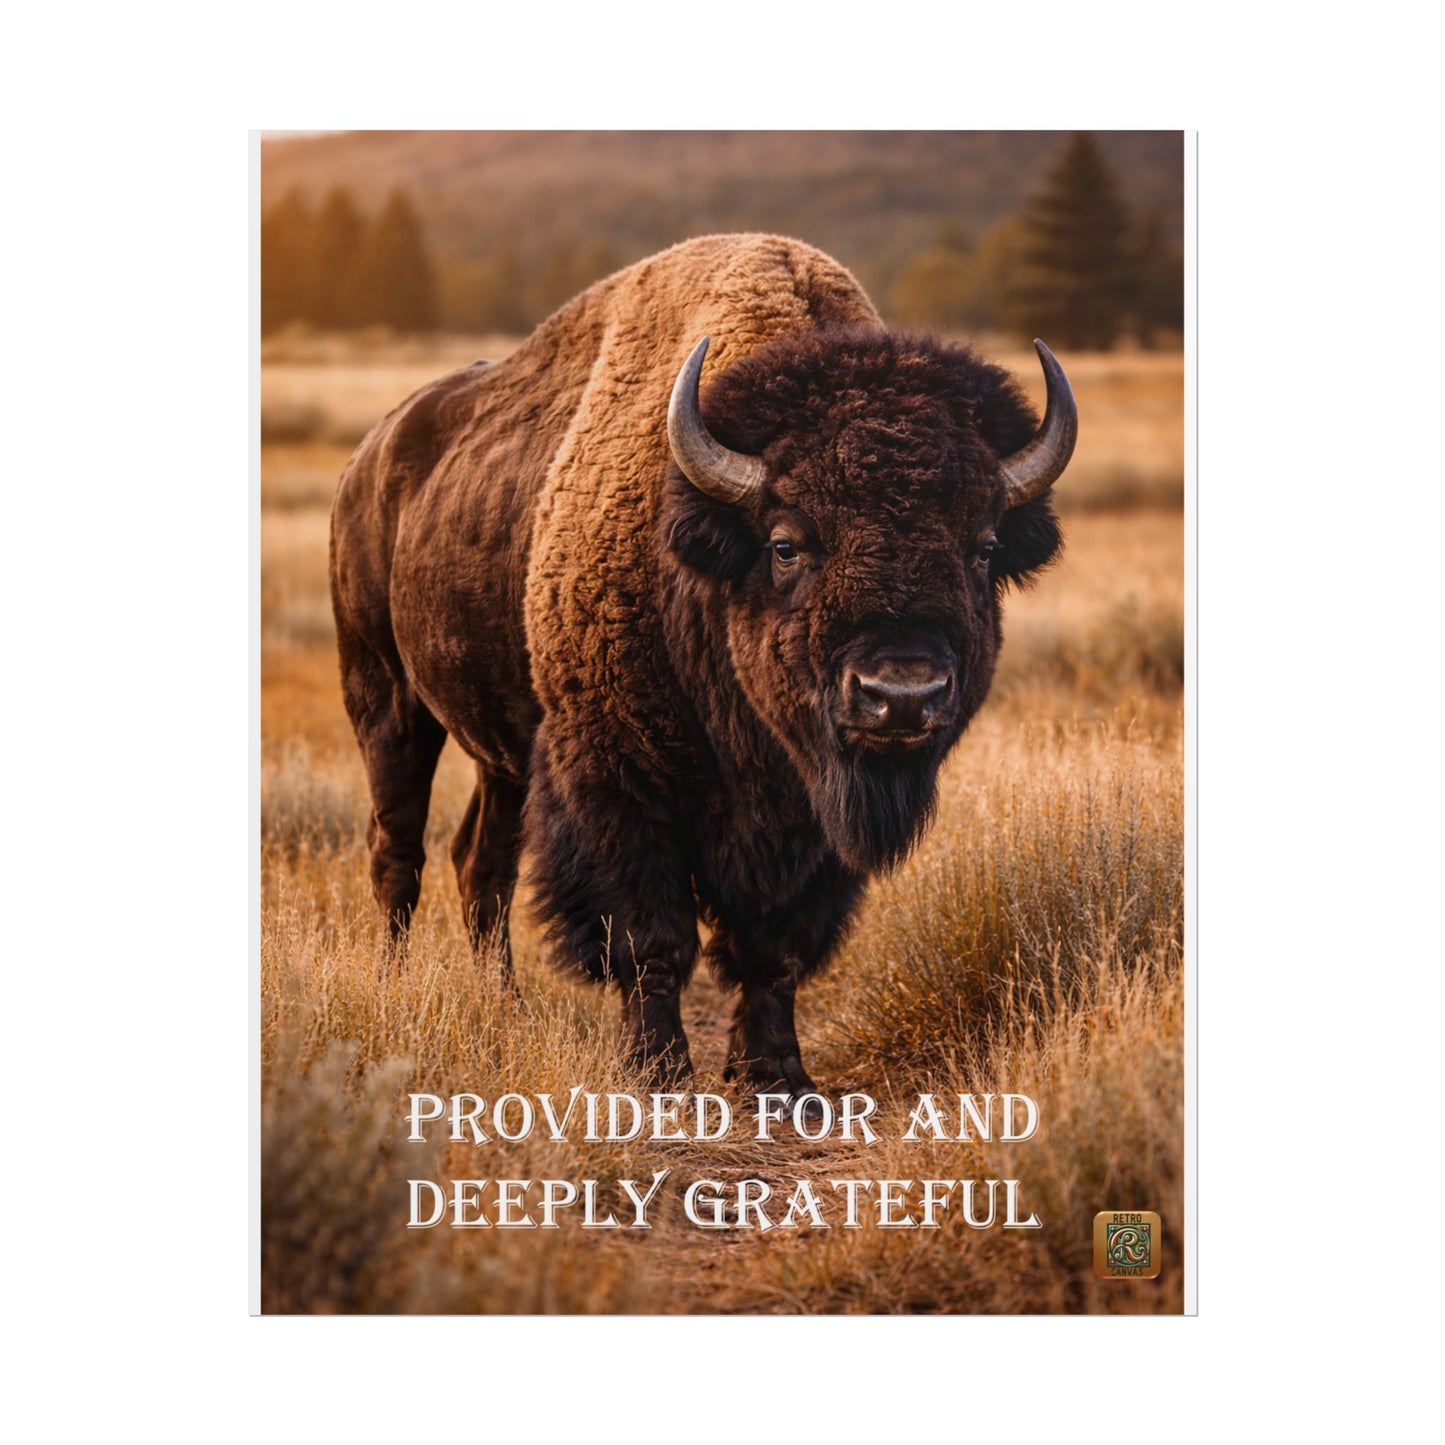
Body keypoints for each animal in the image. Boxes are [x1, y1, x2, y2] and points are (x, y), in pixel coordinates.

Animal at [329, 233, 1075, 1101]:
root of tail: (372, 454)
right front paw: (657, 1072)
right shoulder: (615, 779)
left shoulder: (808, 822)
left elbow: (773, 947)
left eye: (982, 547)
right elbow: (652, 937)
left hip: (502, 752)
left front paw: (780, 1078)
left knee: (480, 862)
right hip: (384, 697)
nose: (900, 695)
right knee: (398, 851)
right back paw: (393, 986)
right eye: (786, 544)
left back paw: (504, 1005)